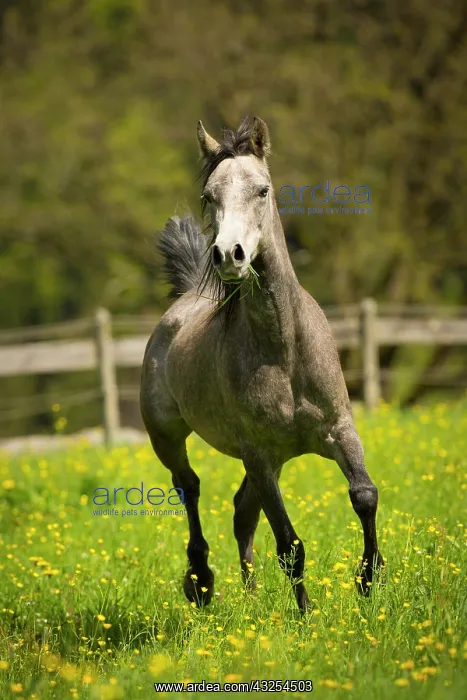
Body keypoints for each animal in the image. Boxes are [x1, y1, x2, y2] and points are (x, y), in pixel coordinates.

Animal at [140, 116, 384, 612]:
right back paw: (200, 582)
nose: (228, 255)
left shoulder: (339, 431)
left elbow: (364, 495)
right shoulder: (260, 455)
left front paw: (368, 581)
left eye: (263, 190)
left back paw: (251, 599)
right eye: (208, 196)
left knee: (241, 511)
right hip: (168, 438)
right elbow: (291, 545)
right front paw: (307, 616)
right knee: (190, 488)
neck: (285, 352)